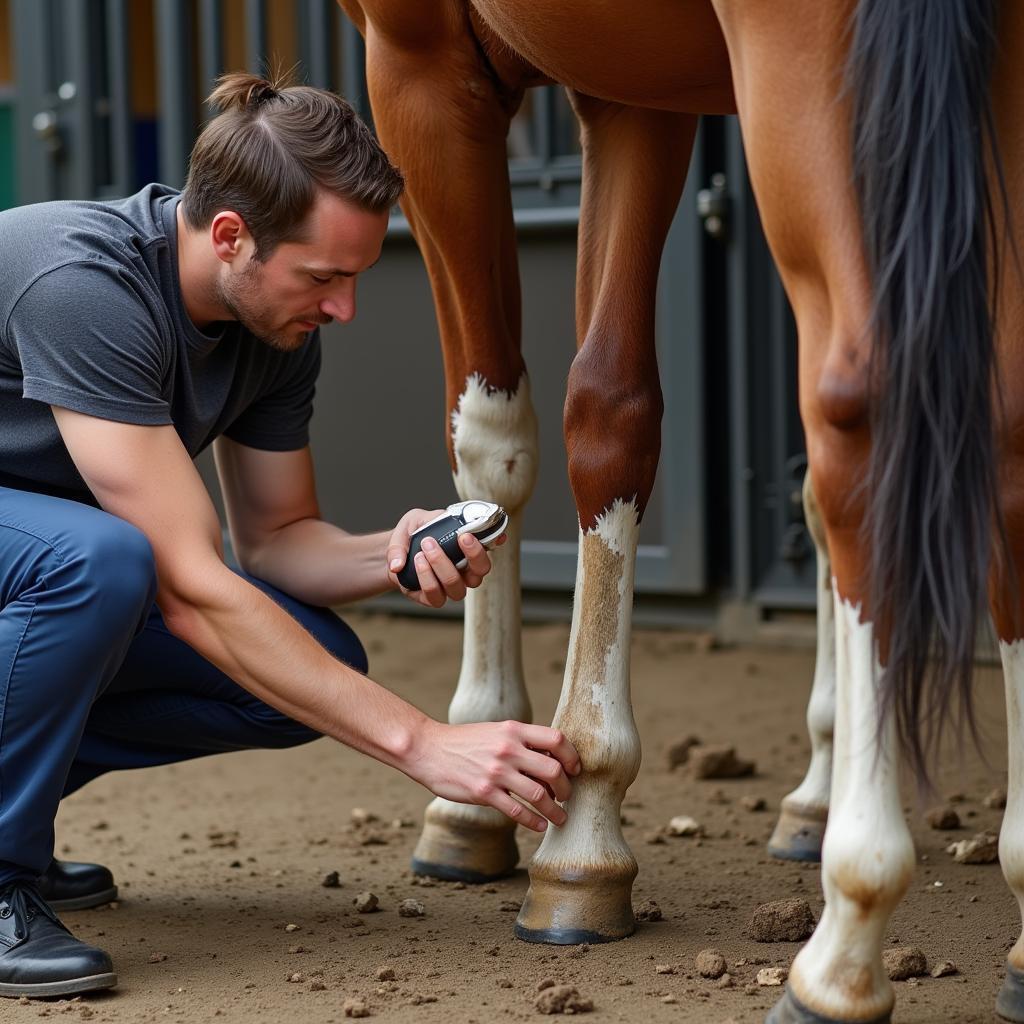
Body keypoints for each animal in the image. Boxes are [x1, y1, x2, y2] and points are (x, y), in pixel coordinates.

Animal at [337, 2, 1024, 1024]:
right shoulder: (633, 88)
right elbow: (613, 407)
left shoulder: (414, 57)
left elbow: (493, 435)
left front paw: (503, 800)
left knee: (861, 424)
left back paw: (842, 946)